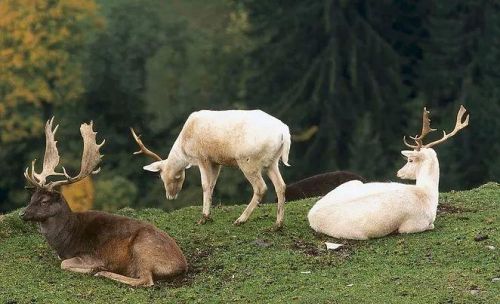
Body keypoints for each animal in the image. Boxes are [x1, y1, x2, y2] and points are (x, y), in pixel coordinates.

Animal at [20, 117, 188, 286]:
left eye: (44, 201)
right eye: (32, 197)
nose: (22, 213)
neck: (66, 240)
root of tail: (182, 265)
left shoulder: (89, 255)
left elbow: (64, 263)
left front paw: (95, 268)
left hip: (142, 249)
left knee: (145, 280)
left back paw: (103, 272)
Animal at [131, 109, 292, 228]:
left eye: (160, 176)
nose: (170, 196)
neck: (184, 145)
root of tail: (284, 133)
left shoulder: (203, 158)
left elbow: (205, 185)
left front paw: (203, 218)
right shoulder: (216, 162)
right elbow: (213, 185)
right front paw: (208, 216)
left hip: (248, 161)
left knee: (261, 187)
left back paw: (240, 220)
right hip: (272, 162)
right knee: (281, 185)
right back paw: (278, 224)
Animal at [308, 105, 468, 241]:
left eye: (410, 160)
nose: (399, 172)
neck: (427, 194)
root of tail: (311, 216)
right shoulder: (413, 225)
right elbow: (430, 225)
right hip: (356, 234)